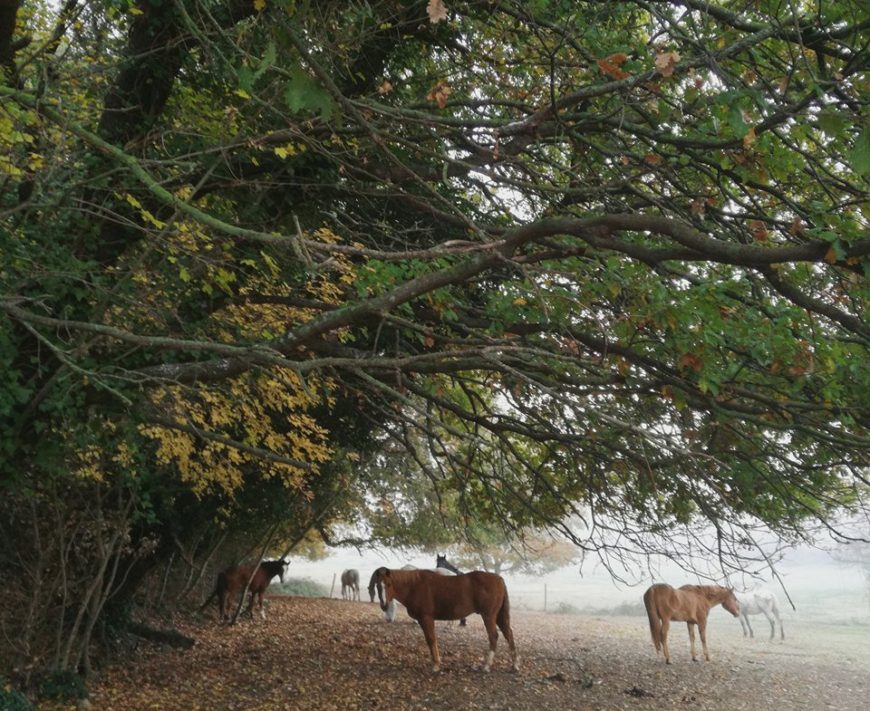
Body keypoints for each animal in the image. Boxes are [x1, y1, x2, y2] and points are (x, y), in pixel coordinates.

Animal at [371, 566, 518, 673]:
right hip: (499, 616)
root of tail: (499, 579)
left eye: (389, 584)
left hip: (488, 615)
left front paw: (436, 665)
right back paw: (514, 665)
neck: (414, 585)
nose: (384, 605)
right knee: (509, 634)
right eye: (378, 585)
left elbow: (431, 639)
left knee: (494, 636)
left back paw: (487, 666)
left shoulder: (426, 618)